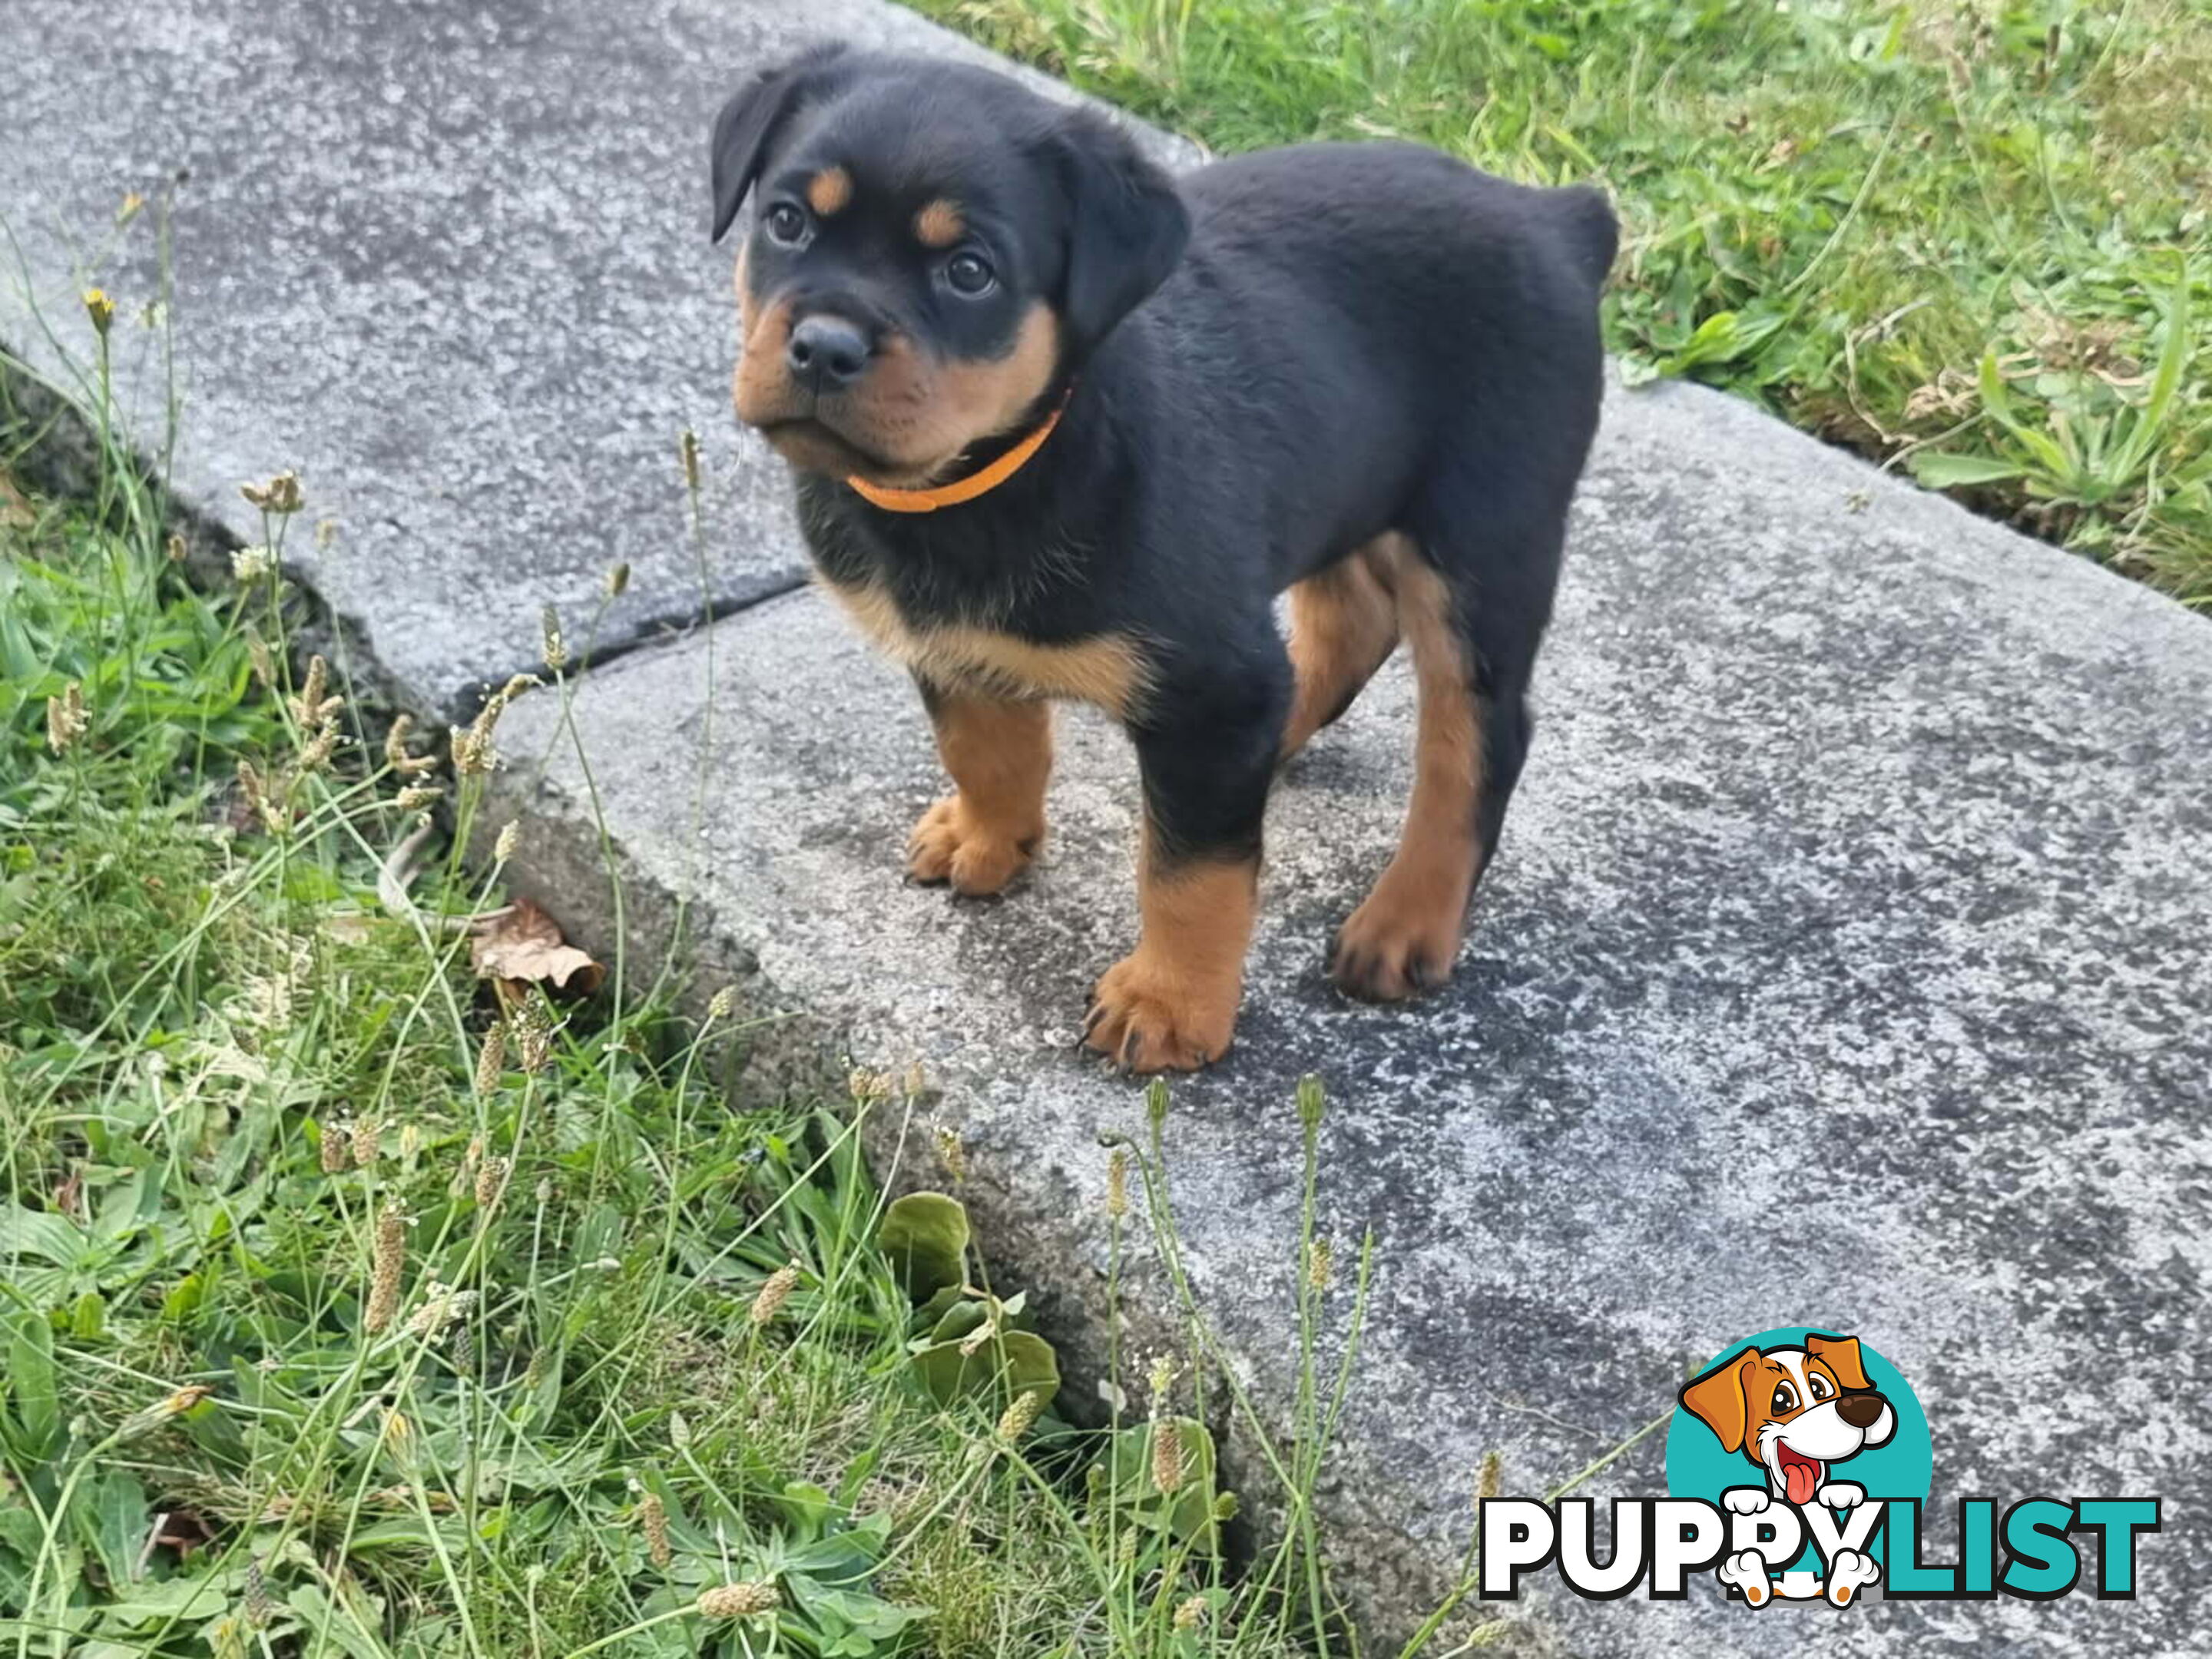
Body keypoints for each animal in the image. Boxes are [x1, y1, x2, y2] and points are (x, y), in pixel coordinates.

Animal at [717, 45, 1619, 1079]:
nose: (822, 348)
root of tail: (1555, 218)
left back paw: (1405, 921)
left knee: (1477, 737)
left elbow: (1194, 872)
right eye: (787, 221)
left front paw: (1171, 1004)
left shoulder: (1217, 681)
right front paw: (989, 837)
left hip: (1485, 535)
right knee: (1348, 625)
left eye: (970, 272)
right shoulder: (949, 640)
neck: (997, 474)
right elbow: (985, 746)